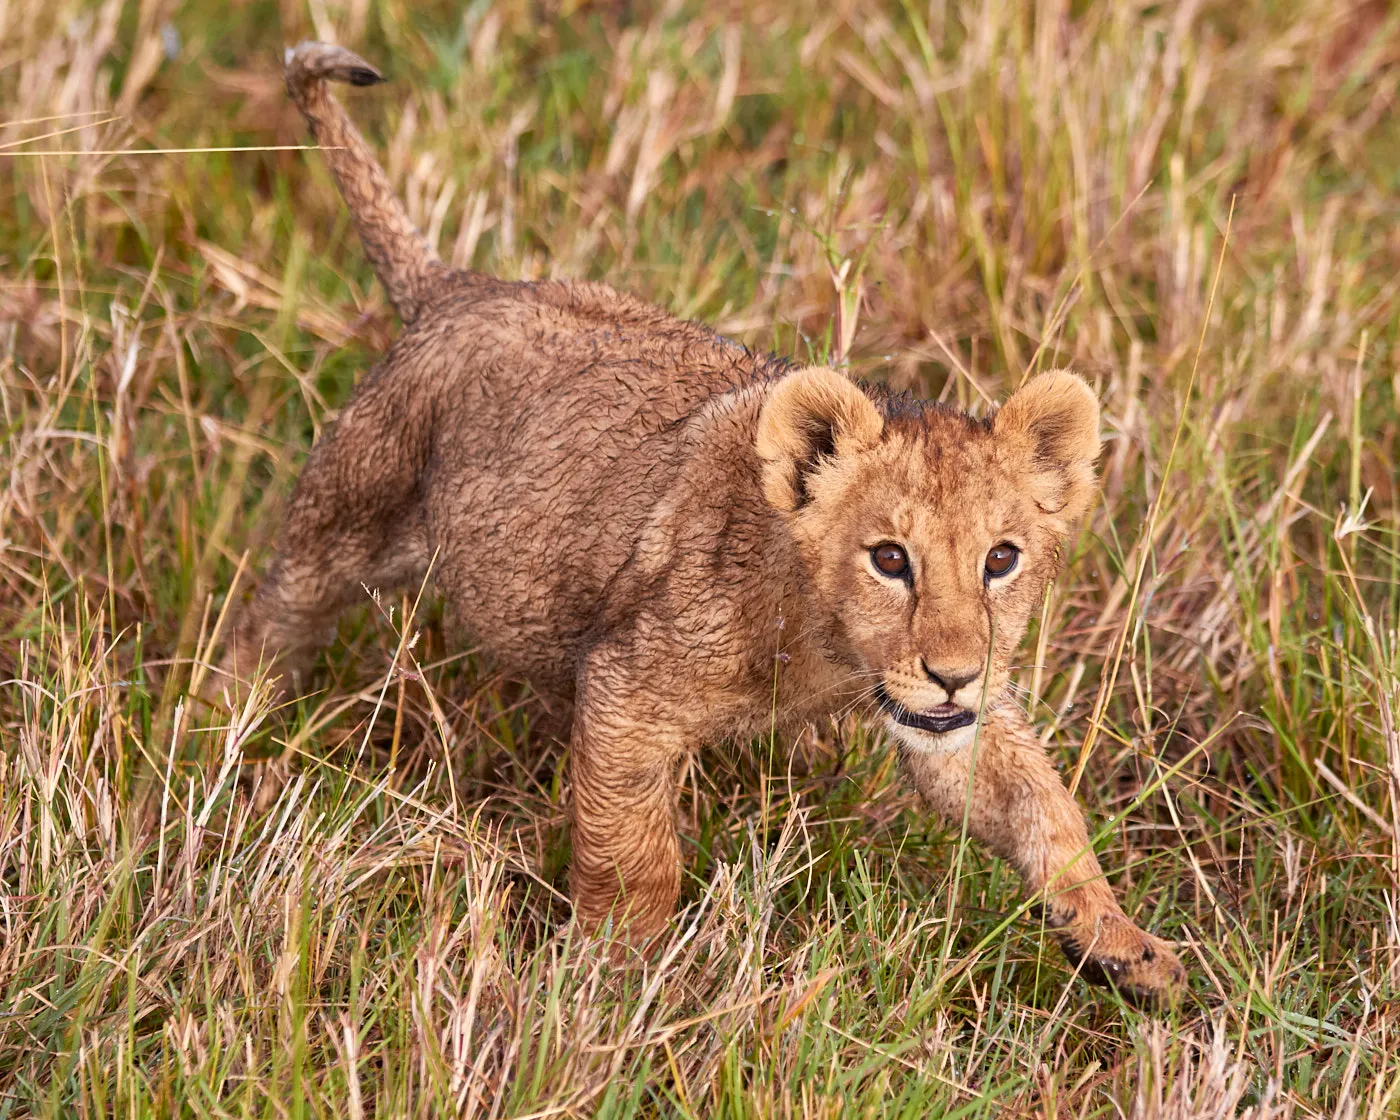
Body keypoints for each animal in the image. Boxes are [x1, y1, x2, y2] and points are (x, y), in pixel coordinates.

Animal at [215, 41, 1187, 1003]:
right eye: (888, 559)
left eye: (1000, 559)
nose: (953, 673)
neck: (823, 644)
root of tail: (458, 286)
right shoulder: (628, 687)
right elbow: (634, 855)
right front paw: (617, 978)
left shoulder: (947, 726)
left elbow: (1042, 805)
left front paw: (1124, 944)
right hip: (349, 508)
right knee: (274, 616)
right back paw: (226, 733)